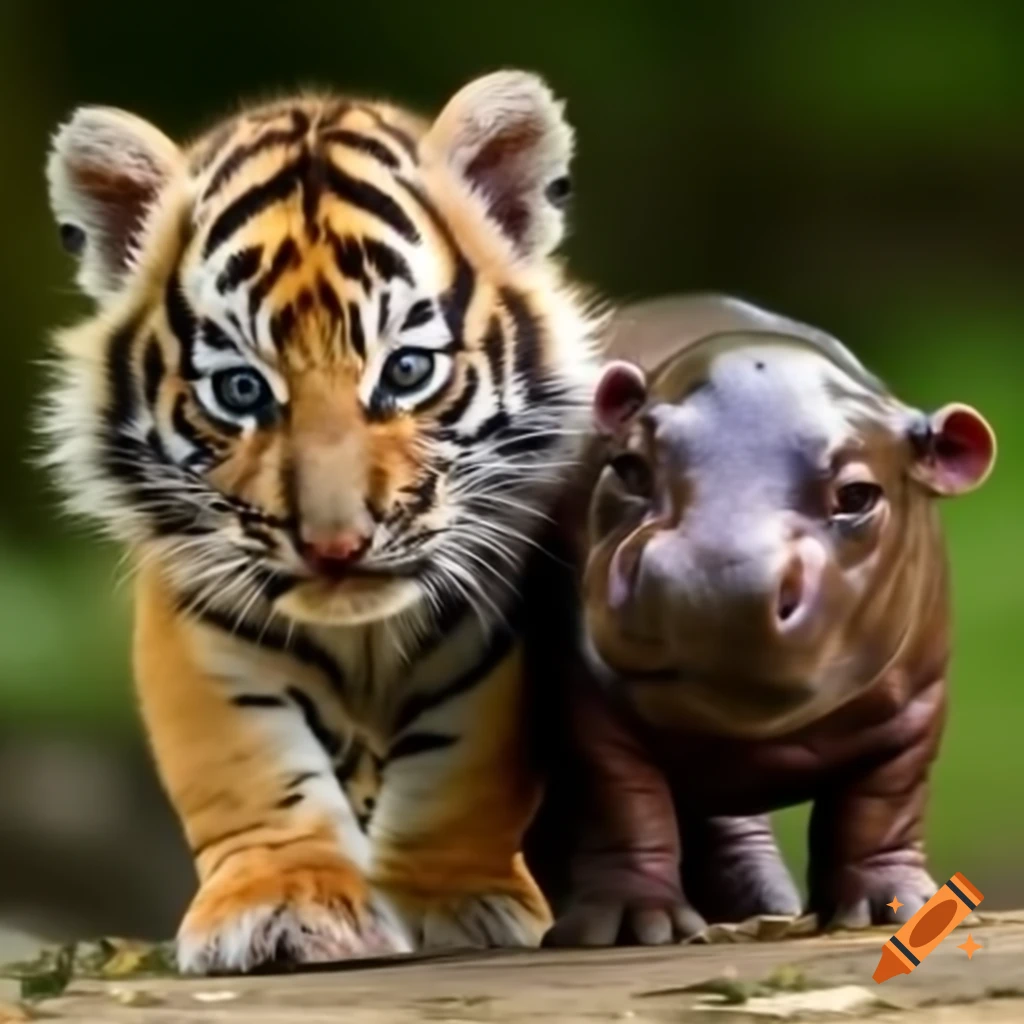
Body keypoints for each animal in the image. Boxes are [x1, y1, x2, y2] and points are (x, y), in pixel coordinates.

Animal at [38, 70, 604, 973]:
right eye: (240, 389)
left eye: (405, 372)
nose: (336, 545)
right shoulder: (208, 627)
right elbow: (250, 767)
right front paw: (283, 908)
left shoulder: (497, 630)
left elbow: (461, 768)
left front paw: (456, 901)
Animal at [535, 294, 997, 946]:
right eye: (627, 466)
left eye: (858, 495)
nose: (704, 580)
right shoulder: (583, 702)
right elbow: (622, 802)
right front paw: (630, 925)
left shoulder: (915, 708)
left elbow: (883, 804)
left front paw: (897, 907)